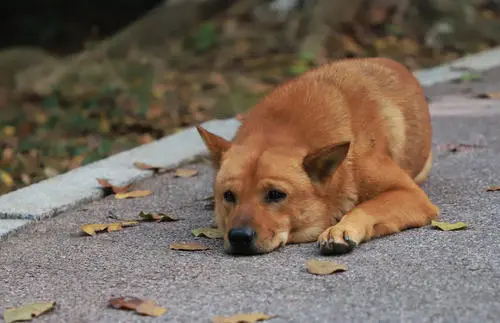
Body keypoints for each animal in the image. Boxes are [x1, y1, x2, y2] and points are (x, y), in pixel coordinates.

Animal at [195, 57, 438, 256]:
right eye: (228, 195)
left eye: (276, 194)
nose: (238, 237)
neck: (282, 128)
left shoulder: (410, 195)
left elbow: (368, 207)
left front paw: (341, 228)